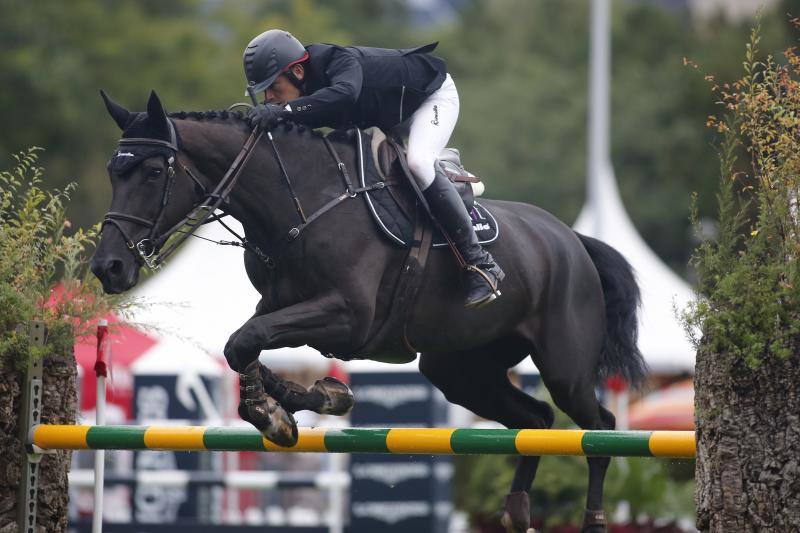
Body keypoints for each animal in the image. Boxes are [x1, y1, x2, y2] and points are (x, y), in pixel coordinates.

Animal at [90, 91, 648, 532]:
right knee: (535, 419)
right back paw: (515, 511)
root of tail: (572, 240)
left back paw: (593, 519)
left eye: (153, 171)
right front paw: (307, 400)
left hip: (564, 367)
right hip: (460, 369)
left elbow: (245, 340)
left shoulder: (348, 318)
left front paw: (277, 411)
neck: (301, 202)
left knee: (600, 427)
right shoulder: (281, 306)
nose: (107, 268)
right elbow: (244, 344)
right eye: (113, 172)